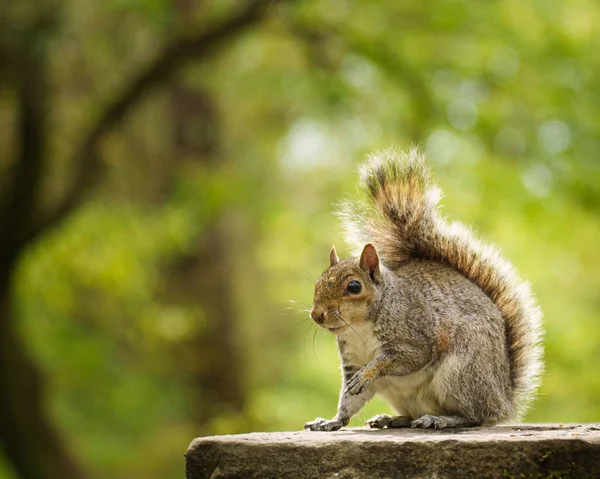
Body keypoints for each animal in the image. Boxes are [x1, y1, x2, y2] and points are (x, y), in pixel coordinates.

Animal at [304, 149, 544, 432]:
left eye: (354, 286)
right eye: (317, 283)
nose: (316, 314)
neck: (360, 326)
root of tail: (503, 399)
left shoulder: (415, 334)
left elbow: (403, 358)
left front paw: (369, 373)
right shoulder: (351, 360)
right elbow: (349, 399)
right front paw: (331, 422)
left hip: (461, 373)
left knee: (474, 415)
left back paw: (439, 419)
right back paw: (393, 419)